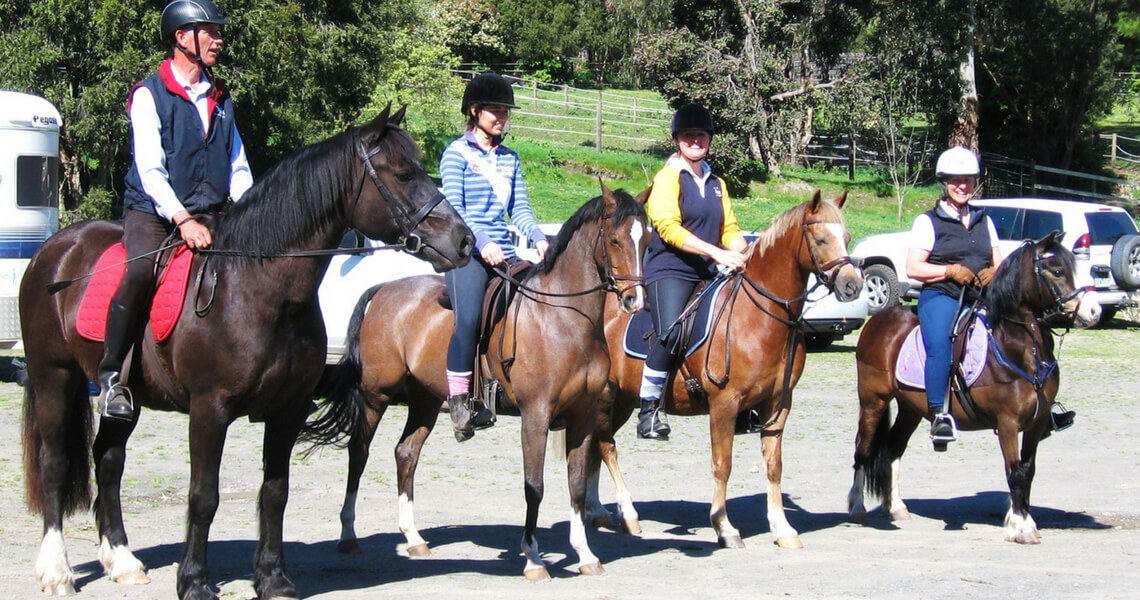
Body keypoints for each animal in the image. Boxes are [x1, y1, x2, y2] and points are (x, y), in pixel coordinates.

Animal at [17, 108, 471, 600]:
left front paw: (273, 578)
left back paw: (121, 560)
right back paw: (56, 570)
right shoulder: (209, 410)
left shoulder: (288, 409)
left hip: (126, 398)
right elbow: (204, 496)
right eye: (404, 174)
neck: (258, 290)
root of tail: (55, 248)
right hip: (54, 377)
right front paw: (194, 581)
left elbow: (275, 492)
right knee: (55, 463)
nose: (463, 241)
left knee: (109, 460)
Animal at [307, 184, 652, 584]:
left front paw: (585, 554)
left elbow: (577, 484)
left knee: (406, 453)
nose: (635, 300)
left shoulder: (583, 414)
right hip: (375, 394)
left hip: (425, 399)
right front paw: (533, 559)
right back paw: (348, 533)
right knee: (358, 453)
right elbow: (534, 486)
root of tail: (384, 289)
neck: (562, 320)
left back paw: (413, 538)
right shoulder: (536, 415)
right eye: (614, 240)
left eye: (647, 242)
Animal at [583, 191, 857, 549]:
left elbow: (774, 465)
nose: (853, 285)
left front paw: (782, 528)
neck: (759, 317)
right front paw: (724, 526)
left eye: (847, 238)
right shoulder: (724, 404)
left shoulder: (778, 404)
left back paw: (595, 510)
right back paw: (627, 514)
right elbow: (722, 464)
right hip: (605, 397)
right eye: (821, 239)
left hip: (623, 400)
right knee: (605, 445)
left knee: (593, 445)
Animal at [848, 230, 1103, 545]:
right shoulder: (1007, 423)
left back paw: (896, 507)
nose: (1094, 310)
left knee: (893, 448)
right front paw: (1021, 528)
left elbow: (1028, 472)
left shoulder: (1036, 422)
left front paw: (1023, 519)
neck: (1018, 346)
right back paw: (856, 507)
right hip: (874, 400)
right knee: (863, 448)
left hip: (911, 408)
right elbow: (1014, 472)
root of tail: (878, 321)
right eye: (1057, 271)